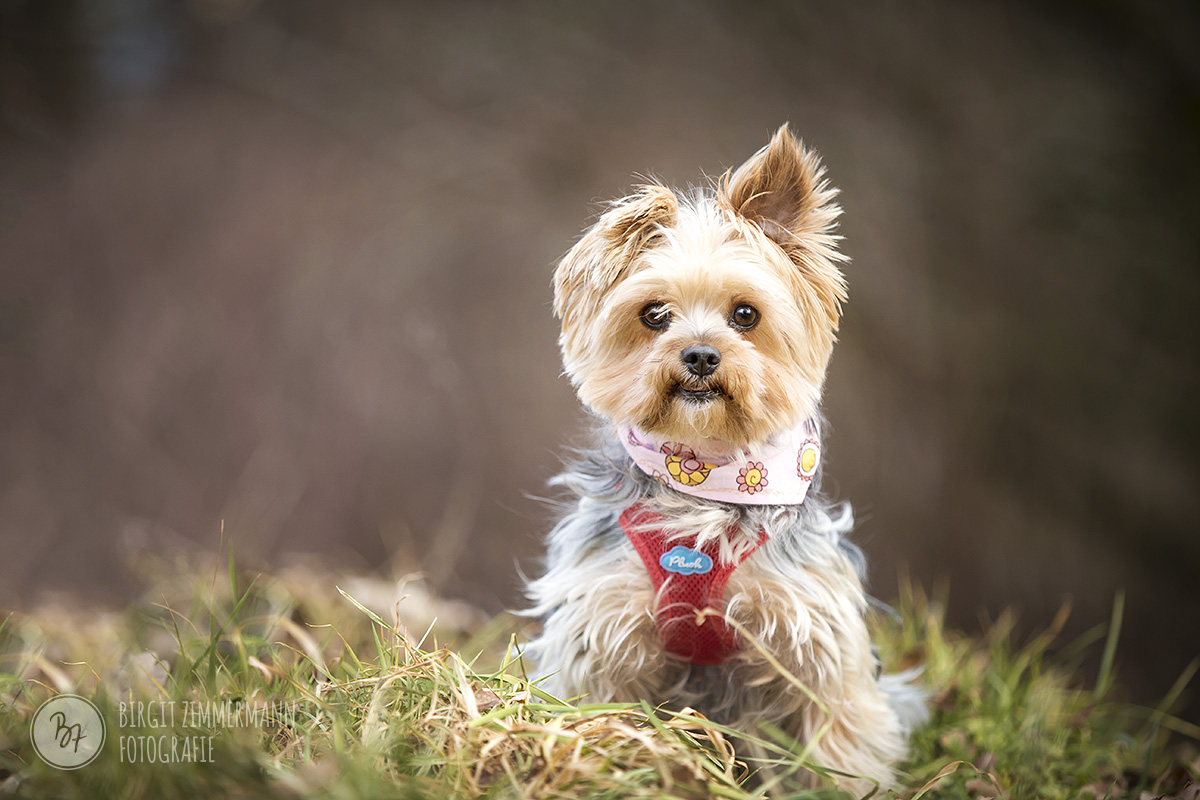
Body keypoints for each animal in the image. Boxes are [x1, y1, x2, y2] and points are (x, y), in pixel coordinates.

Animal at [520, 128, 921, 791]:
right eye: (654, 314)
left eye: (745, 314)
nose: (702, 355)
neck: (708, 478)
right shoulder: (598, 633)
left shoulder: (819, 641)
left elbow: (840, 741)